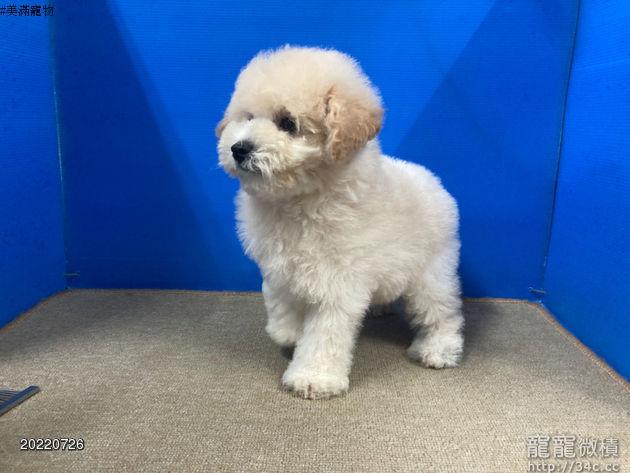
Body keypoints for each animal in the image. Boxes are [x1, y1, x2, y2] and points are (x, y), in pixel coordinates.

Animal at [217, 46, 463, 399]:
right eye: (247, 117)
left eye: (287, 123)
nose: (238, 148)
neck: (300, 200)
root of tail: (435, 182)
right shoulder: (279, 266)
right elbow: (280, 303)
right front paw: (289, 333)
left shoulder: (338, 280)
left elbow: (325, 334)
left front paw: (313, 377)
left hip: (432, 272)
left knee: (442, 311)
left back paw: (438, 349)